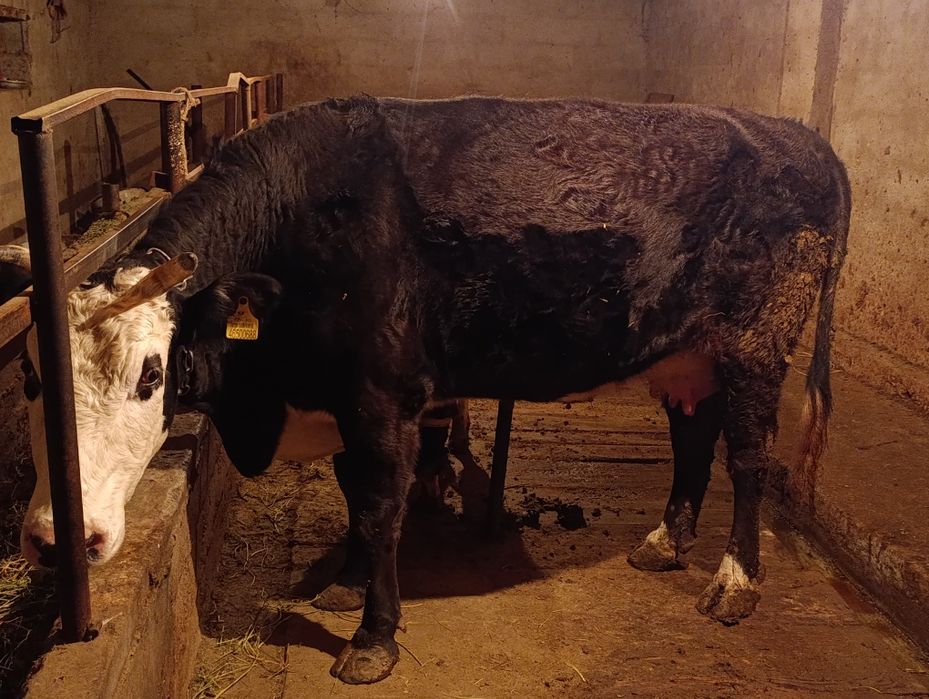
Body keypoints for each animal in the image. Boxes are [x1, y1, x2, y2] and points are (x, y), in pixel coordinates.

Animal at [7, 95, 849, 684]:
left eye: (151, 374)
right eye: (31, 377)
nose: (59, 539)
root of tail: (797, 134)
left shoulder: (382, 395)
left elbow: (381, 507)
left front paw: (372, 637)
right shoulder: (341, 398)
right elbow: (352, 494)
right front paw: (345, 584)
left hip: (755, 342)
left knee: (747, 458)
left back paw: (734, 581)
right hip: (688, 352)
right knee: (692, 438)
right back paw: (665, 542)